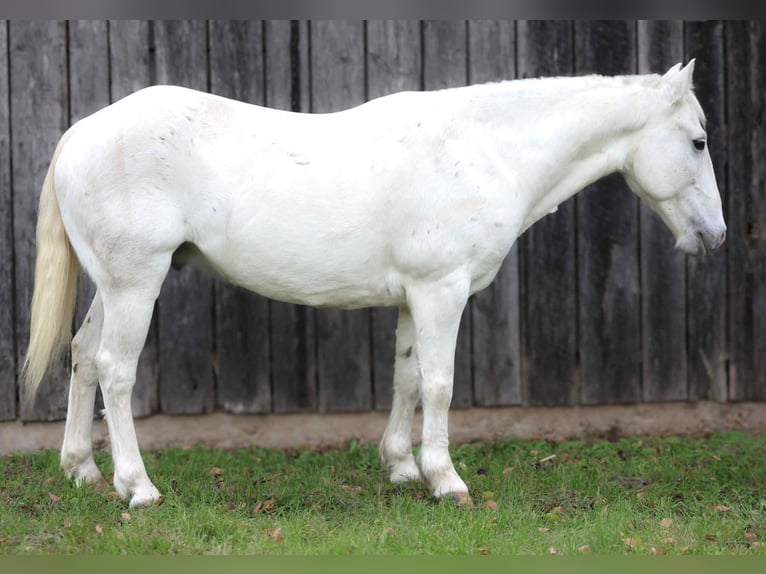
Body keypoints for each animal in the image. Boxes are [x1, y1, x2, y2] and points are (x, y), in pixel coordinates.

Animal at [23, 60, 726, 508]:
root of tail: (81, 132)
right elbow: (439, 384)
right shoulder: (442, 291)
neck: (484, 150)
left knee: (82, 359)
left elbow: (407, 376)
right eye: (697, 141)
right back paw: (137, 488)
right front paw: (446, 480)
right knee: (115, 371)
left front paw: (402, 468)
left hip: (113, 286)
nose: (715, 234)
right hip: (136, 284)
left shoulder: (417, 295)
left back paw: (82, 472)